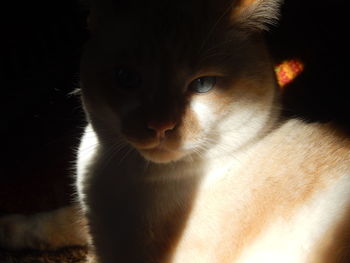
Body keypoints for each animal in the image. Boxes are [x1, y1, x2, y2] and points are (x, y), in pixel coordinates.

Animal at [0, 0, 350, 262]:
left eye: (203, 85)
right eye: (126, 78)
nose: (160, 126)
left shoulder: (110, 252)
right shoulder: (92, 223)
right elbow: (53, 220)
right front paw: (7, 228)